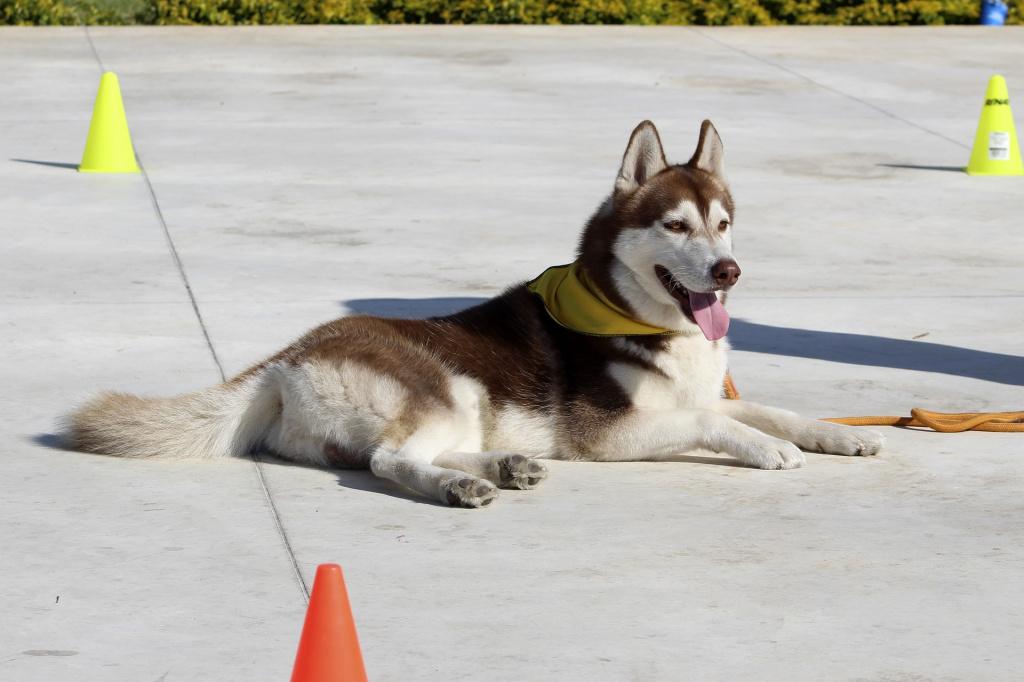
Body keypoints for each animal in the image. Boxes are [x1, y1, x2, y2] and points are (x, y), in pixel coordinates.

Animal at [66, 119, 880, 503]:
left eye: (724, 224)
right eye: (676, 226)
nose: (728, 271)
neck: (638, 318)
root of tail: (285, 357)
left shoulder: (697, 393)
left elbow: (765, 408)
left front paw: (836, 435)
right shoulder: (609, 434)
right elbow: (720, 423)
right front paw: (769, 450)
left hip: (463, 404)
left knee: (406, 451)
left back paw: (503, 465)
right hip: (446, 384)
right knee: (391, 459)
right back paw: (460, 487)